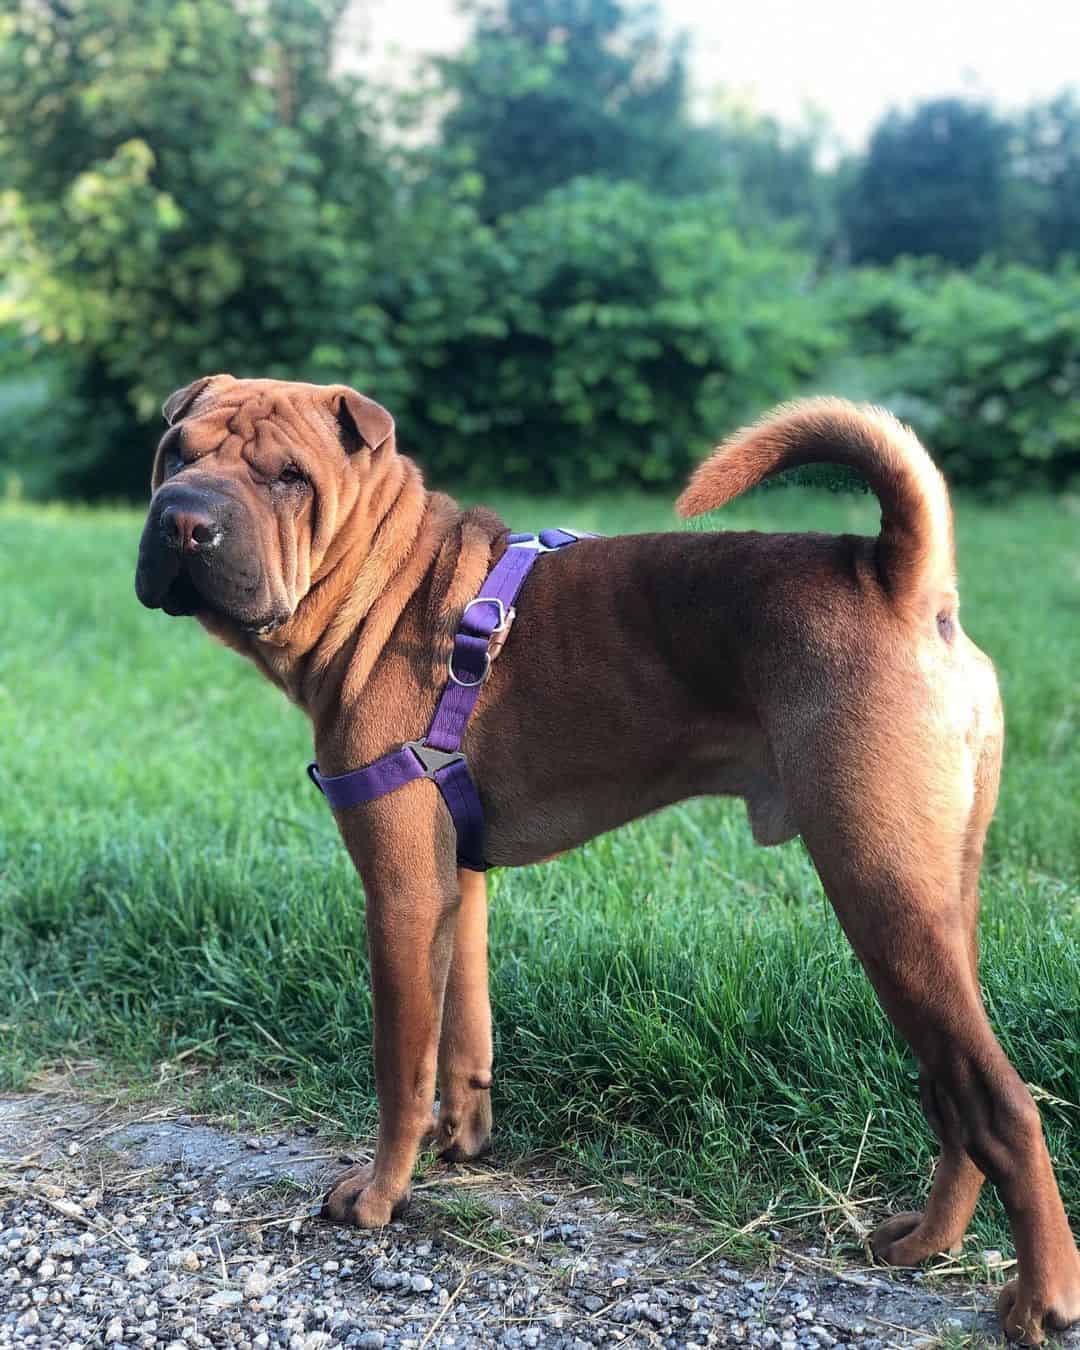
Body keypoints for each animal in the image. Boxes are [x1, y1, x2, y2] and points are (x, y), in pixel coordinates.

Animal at [137, 375, 1080, 1344]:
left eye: (288, 476)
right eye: (175, 455)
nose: (183, 521)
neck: (390, 588)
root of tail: (897, 575)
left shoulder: (400, 895)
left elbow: (401, 1064)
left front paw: (380, 1196)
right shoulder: (459, 882)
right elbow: (463, 1032)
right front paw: (461, 1139)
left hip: (879, 893)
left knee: (997, 1098)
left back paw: (1041, 1296)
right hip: (937, 901)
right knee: (952, 1090)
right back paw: (929, 1240)